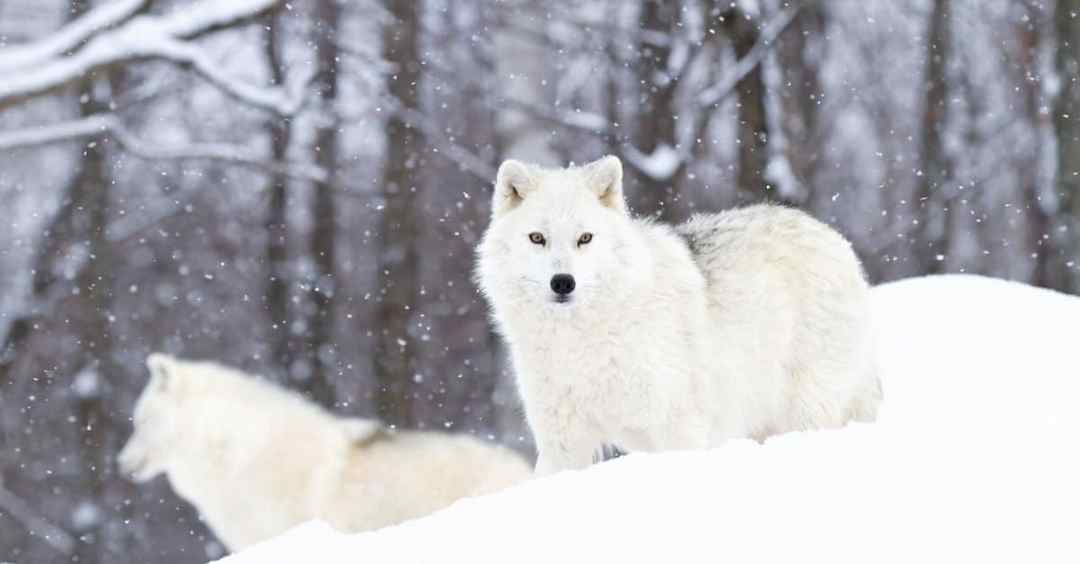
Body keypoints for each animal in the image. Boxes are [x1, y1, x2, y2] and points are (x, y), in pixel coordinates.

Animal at [477, 155, 881, 471]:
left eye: (585, 238)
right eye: (537, 238)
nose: (563, 282)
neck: (583, 339)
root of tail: (834, 238)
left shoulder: (679, 429)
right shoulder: (561, 443)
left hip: (804, 411)